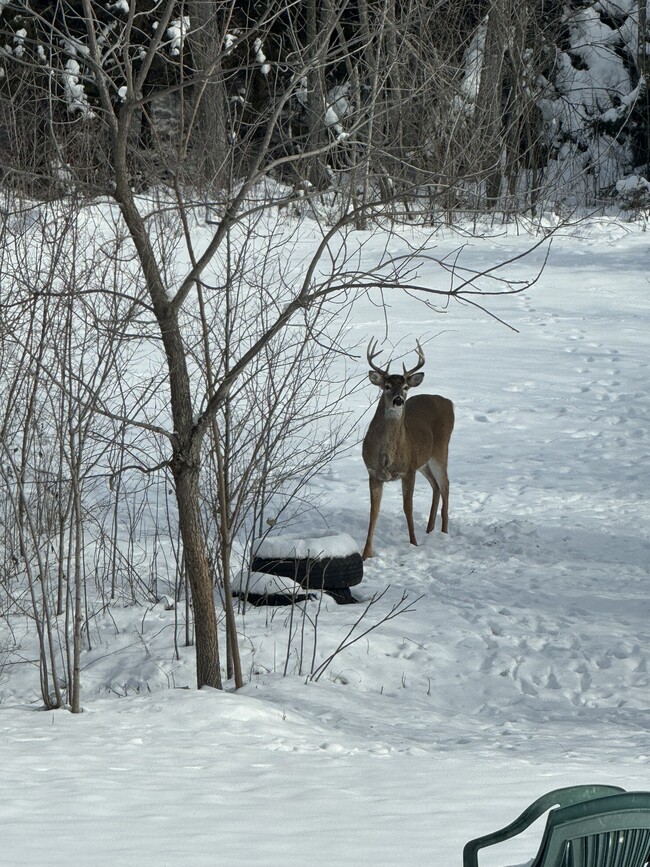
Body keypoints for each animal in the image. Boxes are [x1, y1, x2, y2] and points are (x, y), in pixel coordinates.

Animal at [360, 336, 456, 560]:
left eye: (405, 386)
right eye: (386, 385)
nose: (398, 400)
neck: (387, 455)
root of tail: (448, 402)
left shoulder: (408, 470)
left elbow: (408, 507)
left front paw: (413, 543)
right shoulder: (373, 473)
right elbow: (373, 511)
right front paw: (366, 553)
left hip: (440, 450)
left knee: (445, 484)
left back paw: (444, 532)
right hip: (424, 460)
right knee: (435, 486)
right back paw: (429, 529)